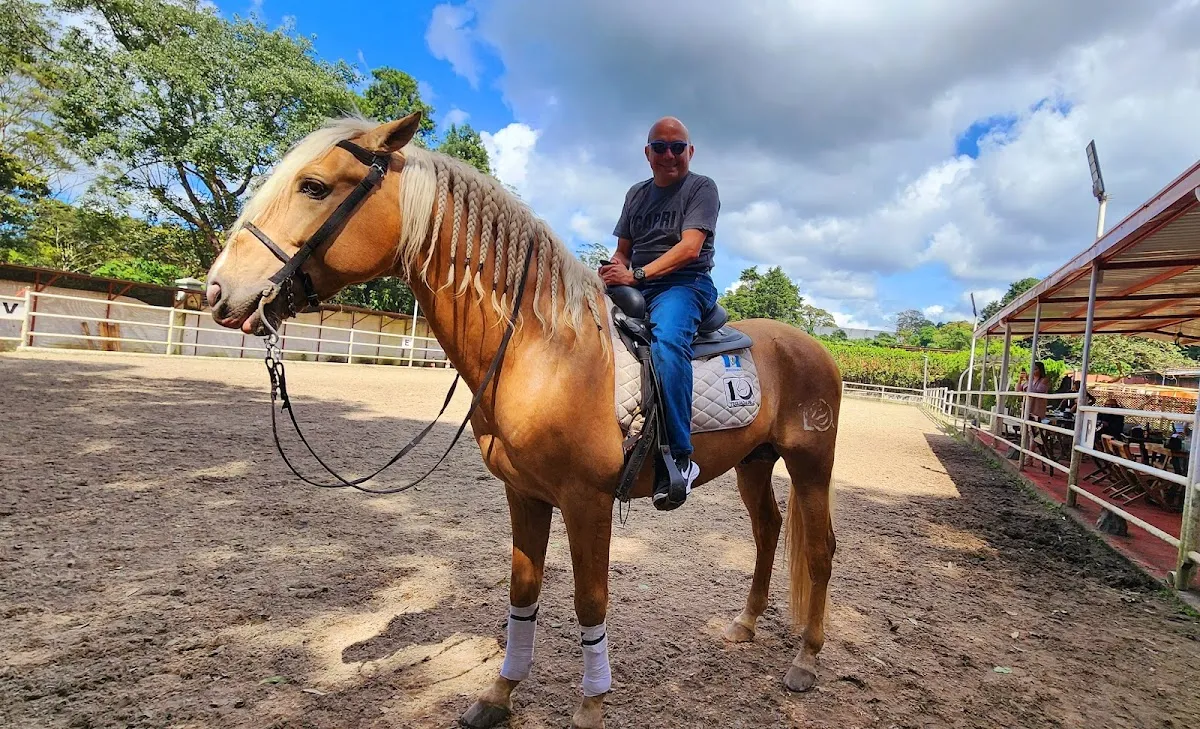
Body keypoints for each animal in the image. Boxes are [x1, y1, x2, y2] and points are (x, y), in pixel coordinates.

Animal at [204, 111, 841, 729]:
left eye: (313, 186)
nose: (218, 290)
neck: (543, 349)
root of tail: (815, 347)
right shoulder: (525, 495)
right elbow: (523, 593)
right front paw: (499, 693)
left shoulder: (587, 502)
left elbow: (590, 601)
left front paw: (591, 706)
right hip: (754, 463)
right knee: (768, 532)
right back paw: (745, 625)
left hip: (811, 463)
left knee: (819, 550)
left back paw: (806, 660)